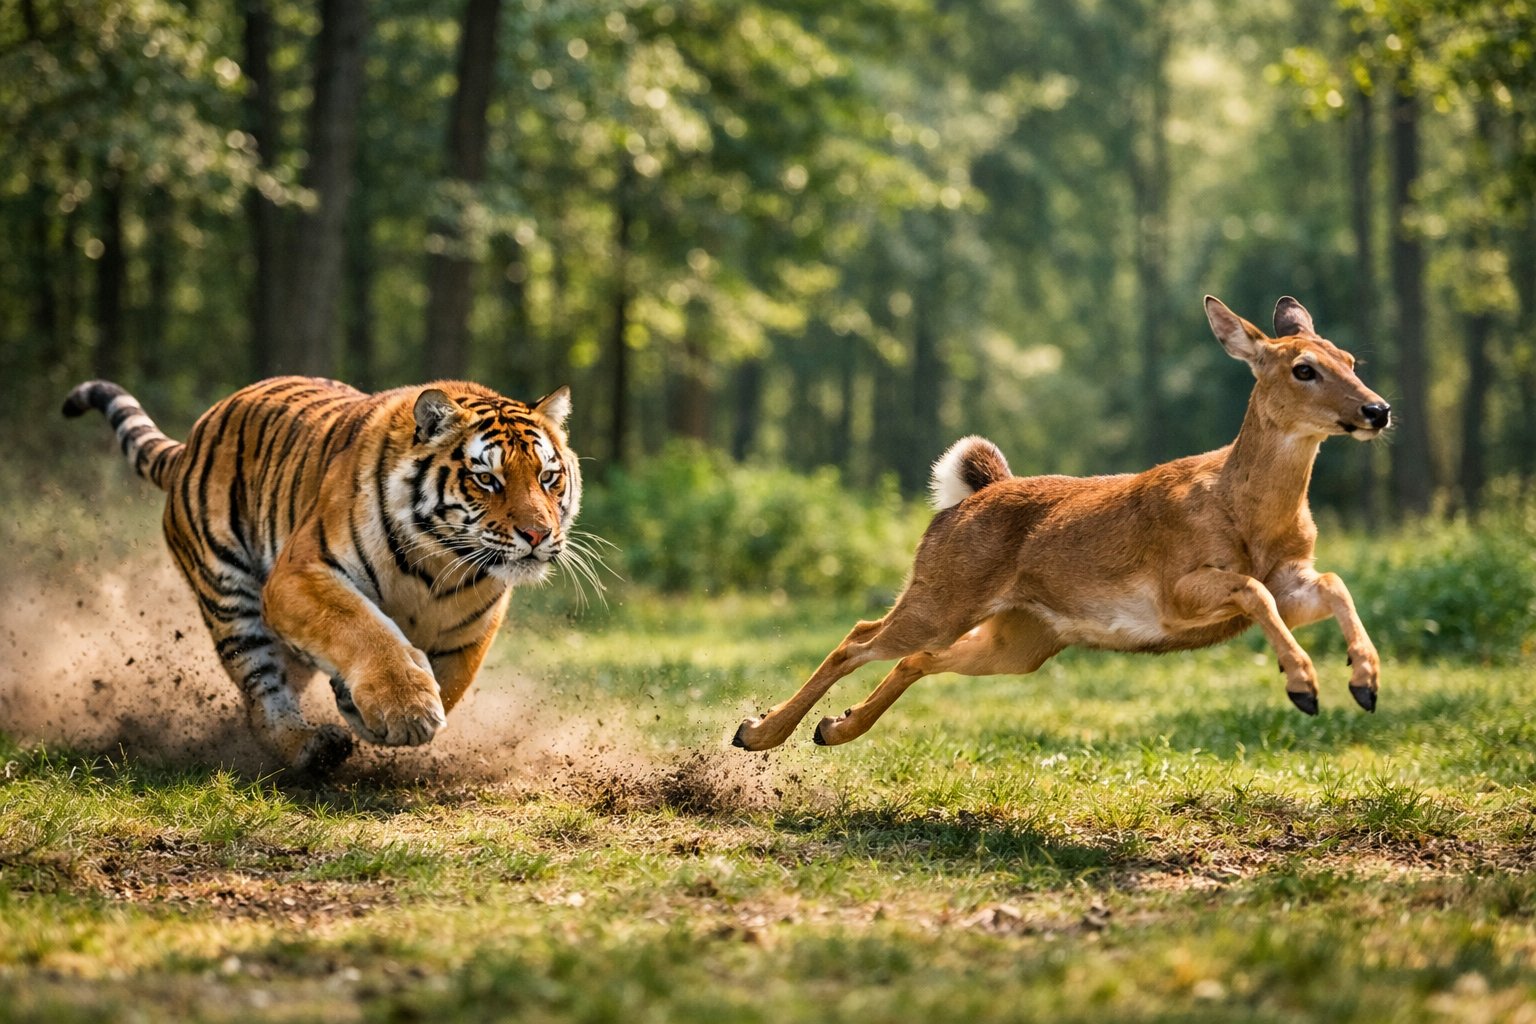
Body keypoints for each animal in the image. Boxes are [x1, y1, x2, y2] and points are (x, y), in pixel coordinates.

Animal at [63, 375, 583, 774]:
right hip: (229, 596)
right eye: (486, 479)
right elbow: (362, 628)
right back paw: (311, 749)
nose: (537, 534)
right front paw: (406, 709)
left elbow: (451, 681)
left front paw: (369, 708)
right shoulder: (299, 575)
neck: (436, 564)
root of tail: (193, 439)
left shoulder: (472, 630)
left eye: (547, 477)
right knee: (262, 695)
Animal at [732, 295, 1392, 752]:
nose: (1378, 409)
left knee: (912, 658)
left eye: (1351, 359)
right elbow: (1253, 589)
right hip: (943, 593)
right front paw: (1303, 685)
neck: (1247, 512)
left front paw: (1364, 681)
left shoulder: (1292, 578)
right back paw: (756, 732)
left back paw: (830, 729)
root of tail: (969, 497)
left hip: (1022, 639)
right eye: (1303, 368)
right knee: (858, 637)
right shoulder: (1177, 588)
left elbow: (1333, 583)